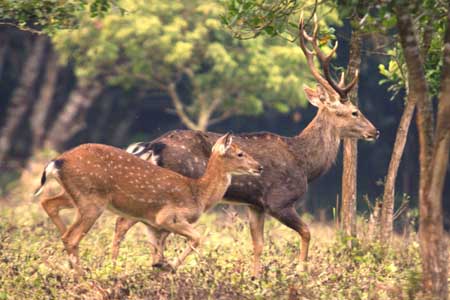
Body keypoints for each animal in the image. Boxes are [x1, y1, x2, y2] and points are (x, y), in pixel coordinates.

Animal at [36, 133, 264, 272]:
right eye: (240, 153)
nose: (259, 167)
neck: (199, 194)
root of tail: (56, 162)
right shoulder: (168, 217)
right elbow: (198, 237)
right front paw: (170, 266)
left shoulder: (152, 225)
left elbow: (156, 253)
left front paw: (160, 268)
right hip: (91, 199)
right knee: (71, 236)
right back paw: (82, 275)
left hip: (76, 195)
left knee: (49, 204)